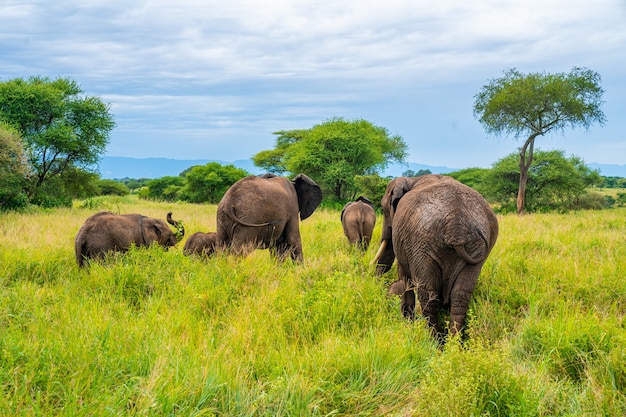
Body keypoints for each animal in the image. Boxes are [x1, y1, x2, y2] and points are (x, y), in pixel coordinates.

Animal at [370, 174, 498, 340]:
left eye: (385, 210)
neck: (410, 180)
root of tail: (456, 227)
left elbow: (405, 278)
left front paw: (408, 325)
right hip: (475, 248)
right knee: (460, 295)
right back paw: (453, 343)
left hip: (421, 243)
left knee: (428, 295)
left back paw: (431, 341)